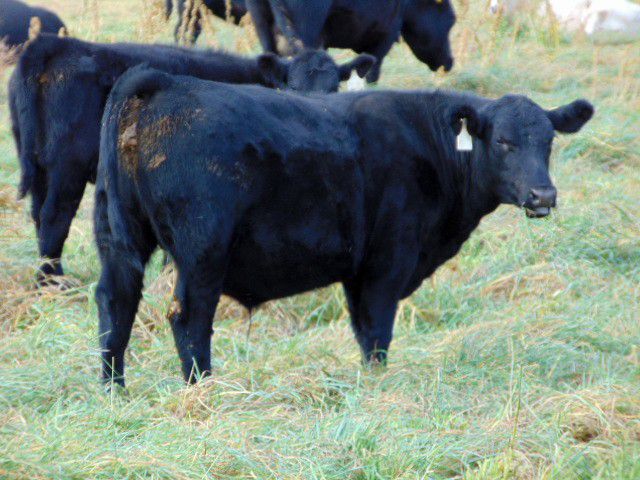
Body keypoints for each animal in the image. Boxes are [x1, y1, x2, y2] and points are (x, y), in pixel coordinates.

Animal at [9, 33, 375, 285]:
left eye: (335, 87)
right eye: (293, 86)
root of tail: (53, 44)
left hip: (40, 166)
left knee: (39, 216)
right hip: (66, 168)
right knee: (55, 218)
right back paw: (51, 283)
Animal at [95, 65, 593, 386]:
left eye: (549, 142)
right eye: (504, 141)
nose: (543, 196)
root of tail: (164, 82)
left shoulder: (357, 271)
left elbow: (363, 333)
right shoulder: (385, 264)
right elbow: (376, 334)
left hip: (117, 238)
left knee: (115, 305)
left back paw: (114, 388)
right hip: (203, 249)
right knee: (189, 317)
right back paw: (203, 389)